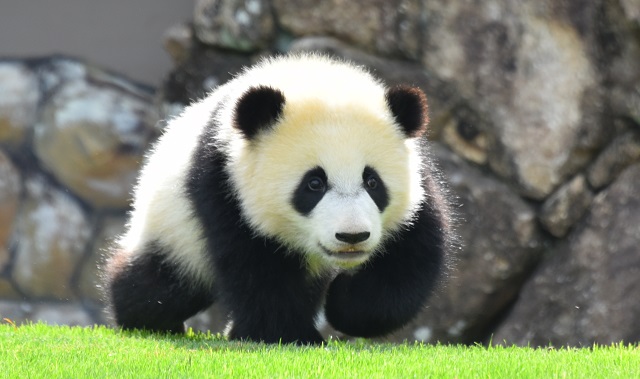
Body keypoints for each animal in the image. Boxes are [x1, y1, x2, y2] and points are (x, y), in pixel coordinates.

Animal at [104, 55, 456, 346]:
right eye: (314, 184)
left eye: (372, 182)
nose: (352, 236)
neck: (312, 79)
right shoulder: (223, 183)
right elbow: (255, 266)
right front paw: (288, 334)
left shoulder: (418, 182)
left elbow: (411, 256)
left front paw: (344, 302)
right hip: (174, 227)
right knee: (162, 285)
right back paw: (145, 317)